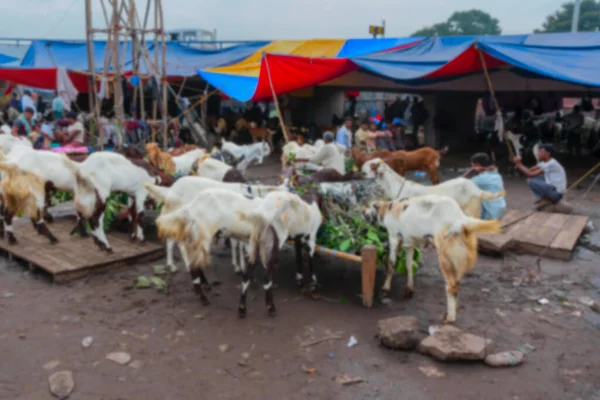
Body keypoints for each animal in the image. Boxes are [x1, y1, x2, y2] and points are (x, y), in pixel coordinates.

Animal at [366, 195, 502, 324]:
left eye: (368, 206)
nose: (364, 216)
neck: (389, 207)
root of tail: (462, 221)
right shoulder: (410, 242)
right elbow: (409, 265)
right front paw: (409, 290)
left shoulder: (394, 236)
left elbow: (391, 264)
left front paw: (385, 289)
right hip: (459, 260)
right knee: (457, 284)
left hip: (445, 255)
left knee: (451, 285)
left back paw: (449, 318)